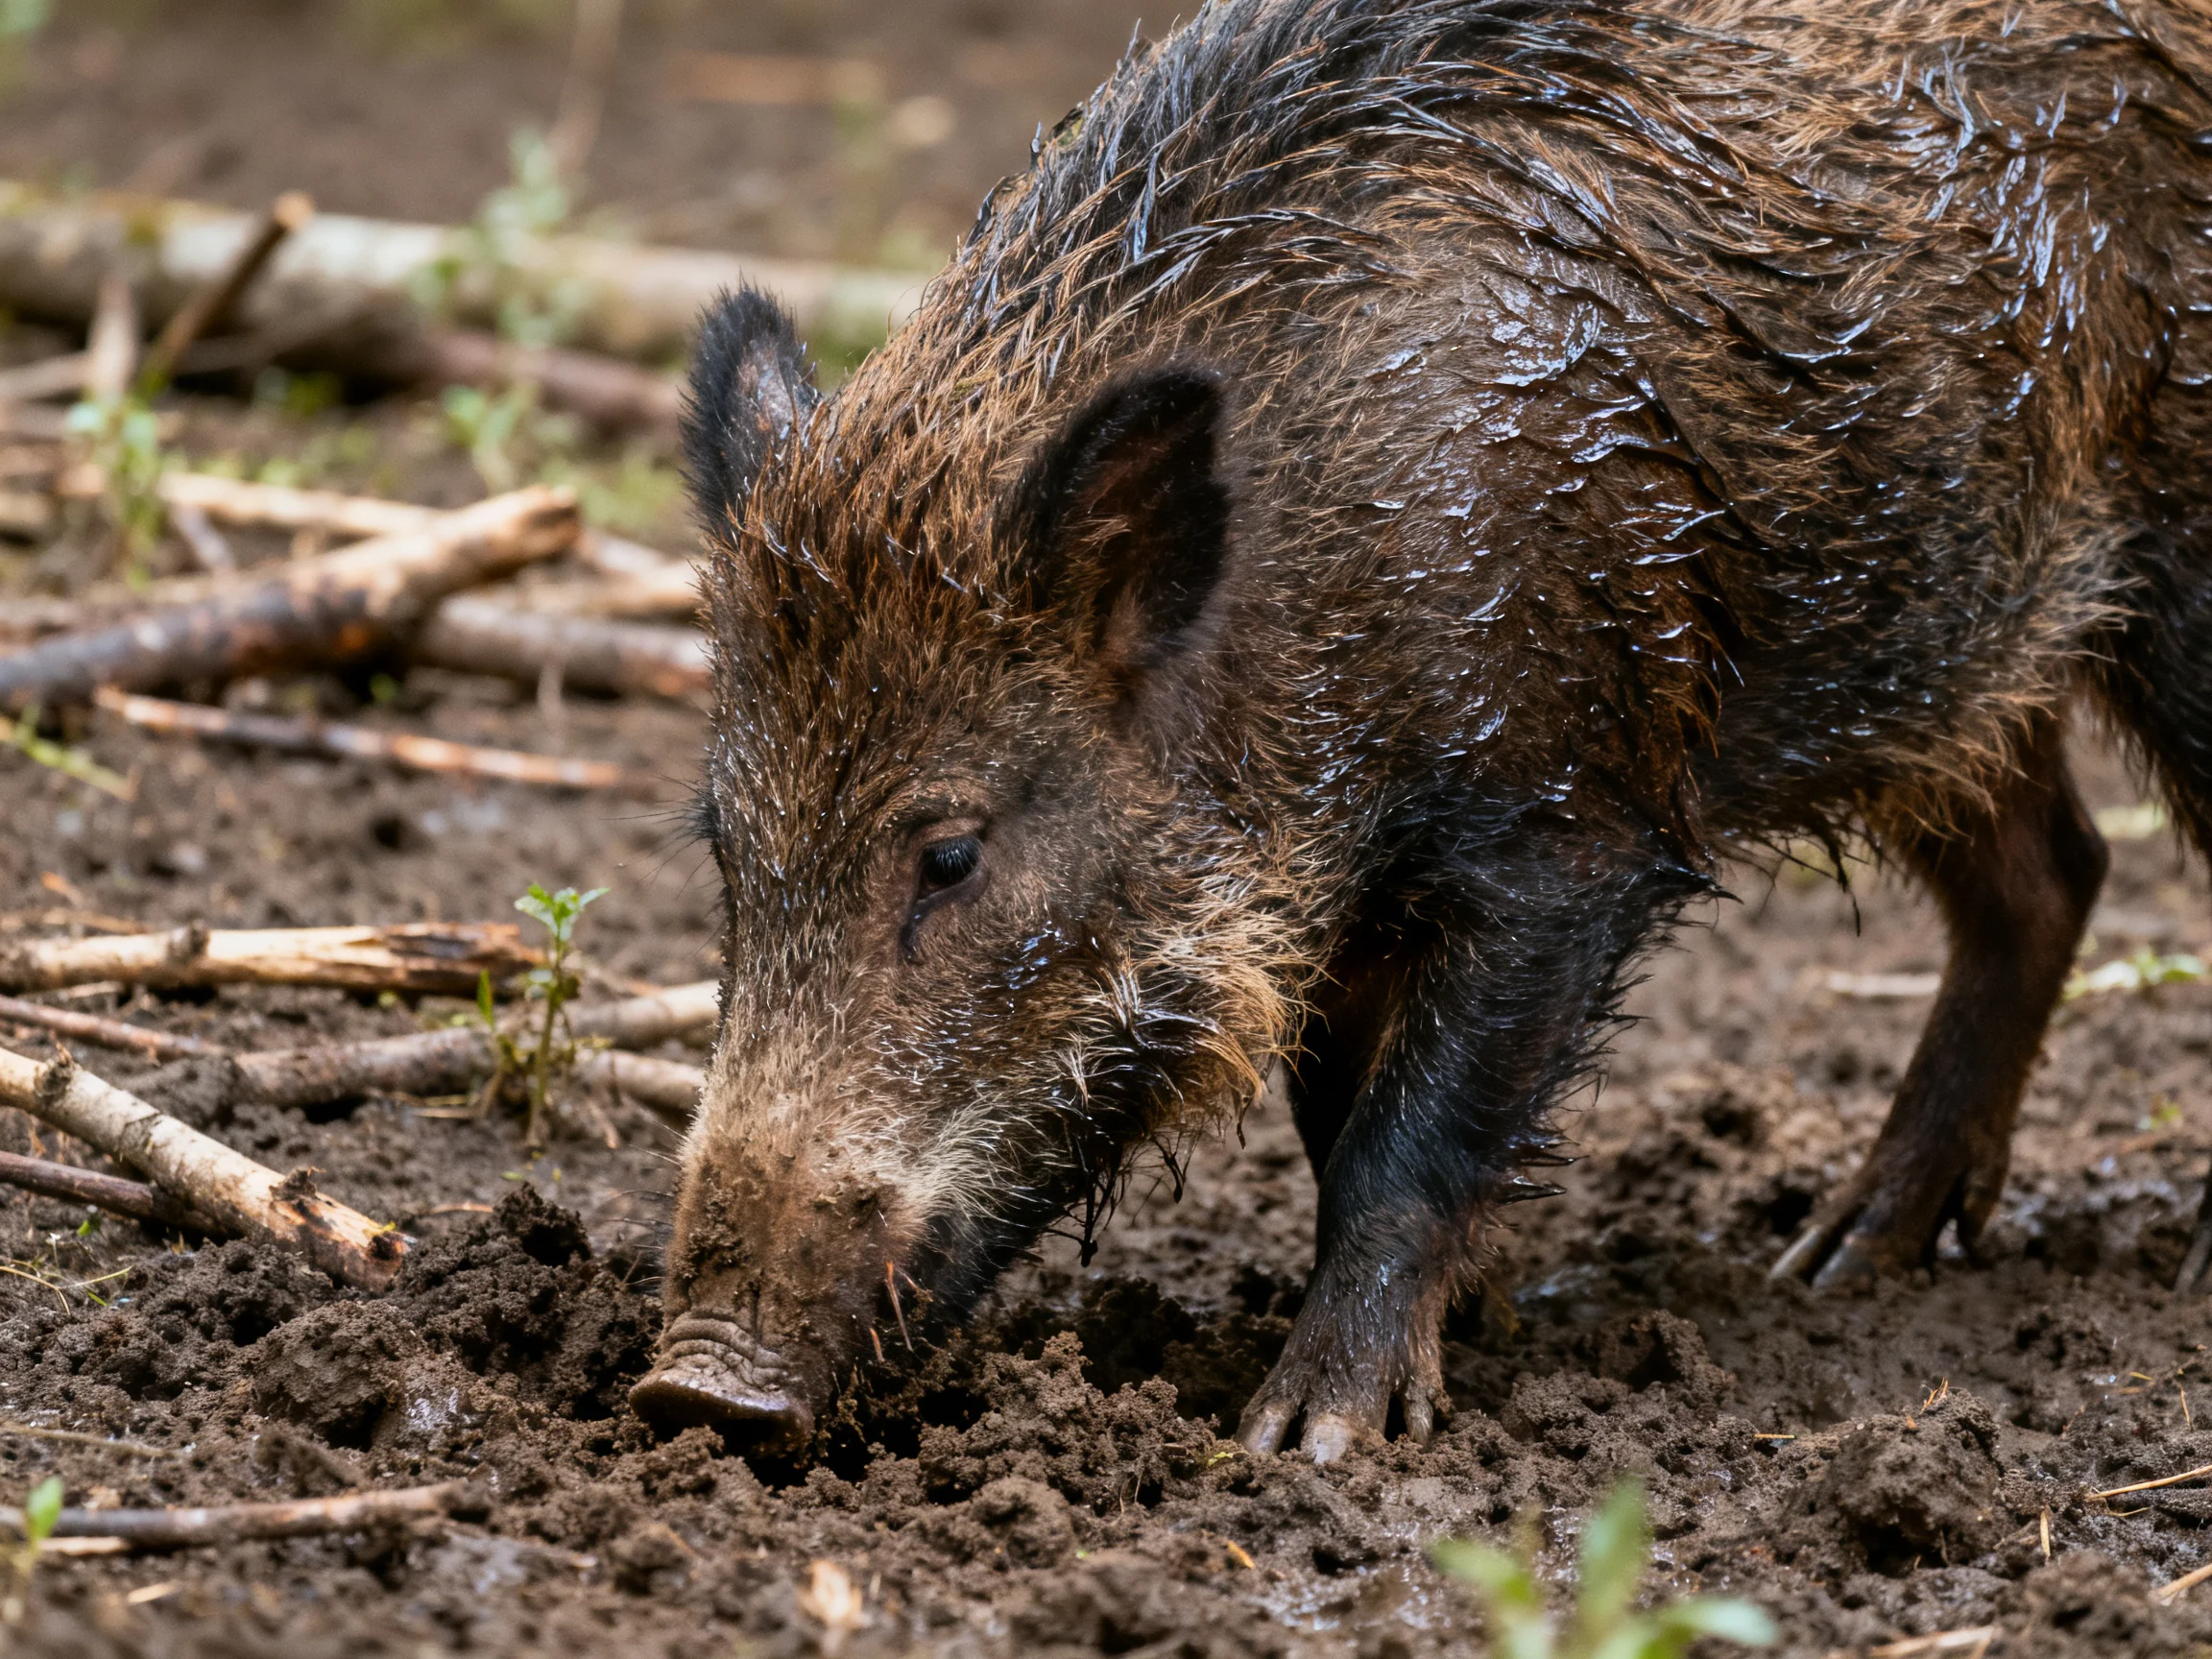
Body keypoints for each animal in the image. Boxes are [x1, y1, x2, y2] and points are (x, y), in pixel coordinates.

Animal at [629, 0, 2212, 1461]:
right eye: (725, 846)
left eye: (952, 853)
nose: (693, 1390)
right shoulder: (1343, 904)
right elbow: (1337, 1128)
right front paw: (1487, 1330)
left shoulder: (1564, 830)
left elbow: (1411, 1140)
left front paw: (1311, 1440)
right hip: (1941, 653)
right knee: (2053, 873)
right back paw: (1834, 1261)